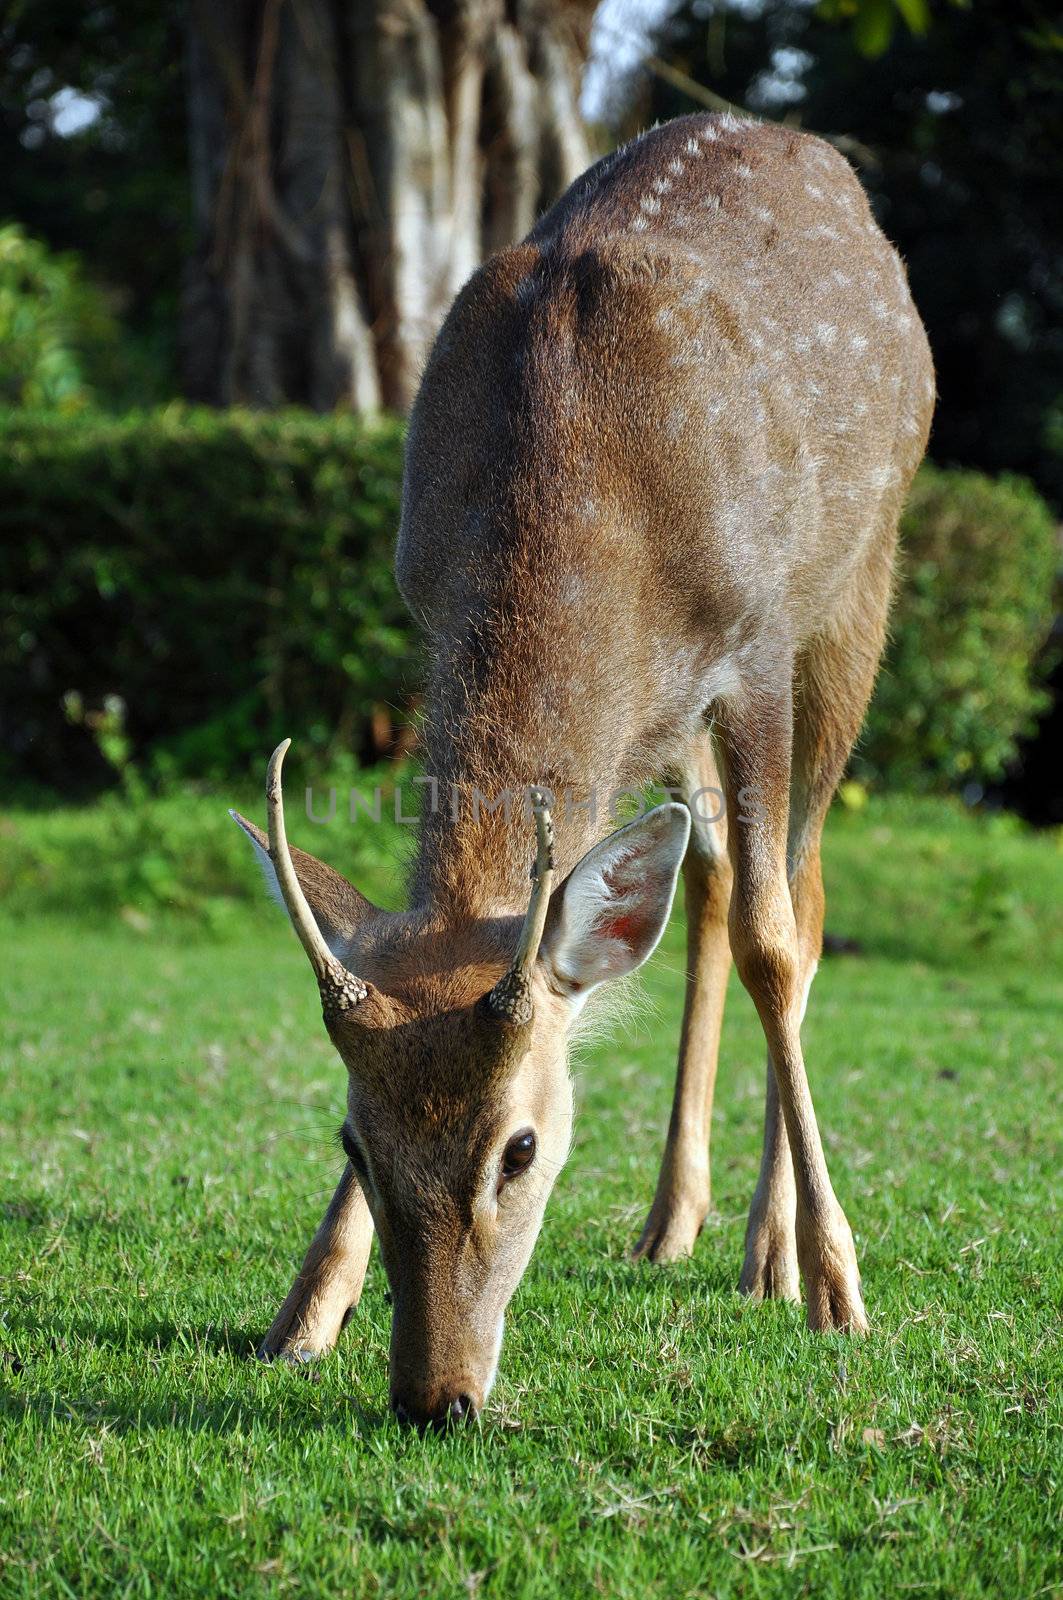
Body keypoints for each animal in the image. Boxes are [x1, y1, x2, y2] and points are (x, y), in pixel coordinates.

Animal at [230, 116, 928, 1440]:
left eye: (520, 1149)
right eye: (352, 1143)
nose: (435, 1394)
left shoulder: (755, 645)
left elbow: (775, 944)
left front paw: (837, 1282)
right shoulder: (429, 605)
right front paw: (305, 1306)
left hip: (861, 580)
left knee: (799, 903)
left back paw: (769, 1248)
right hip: (677, 725)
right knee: (706, 880)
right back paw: (672, 1221)